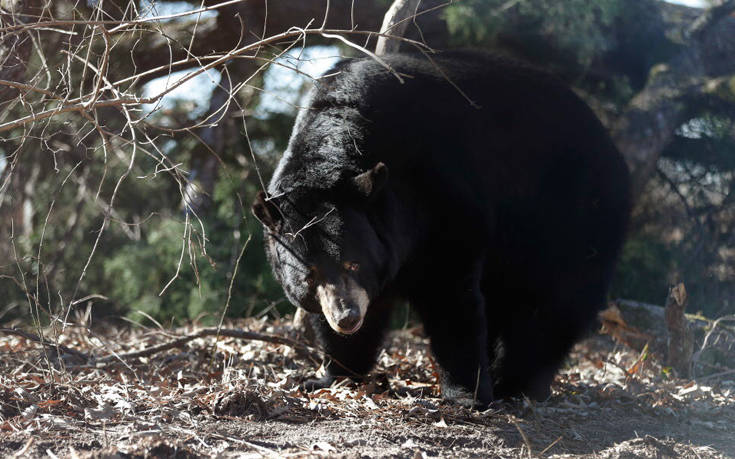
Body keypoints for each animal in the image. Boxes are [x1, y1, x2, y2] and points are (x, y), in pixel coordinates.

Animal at [253, 50, 632, 408]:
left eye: (354, 263)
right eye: (310, 275)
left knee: (552, 303)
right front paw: (328, 375)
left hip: (570, 213)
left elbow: (449, 292)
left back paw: (516, 384)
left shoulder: (442, 196)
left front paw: (467, 394)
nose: (347, 317)